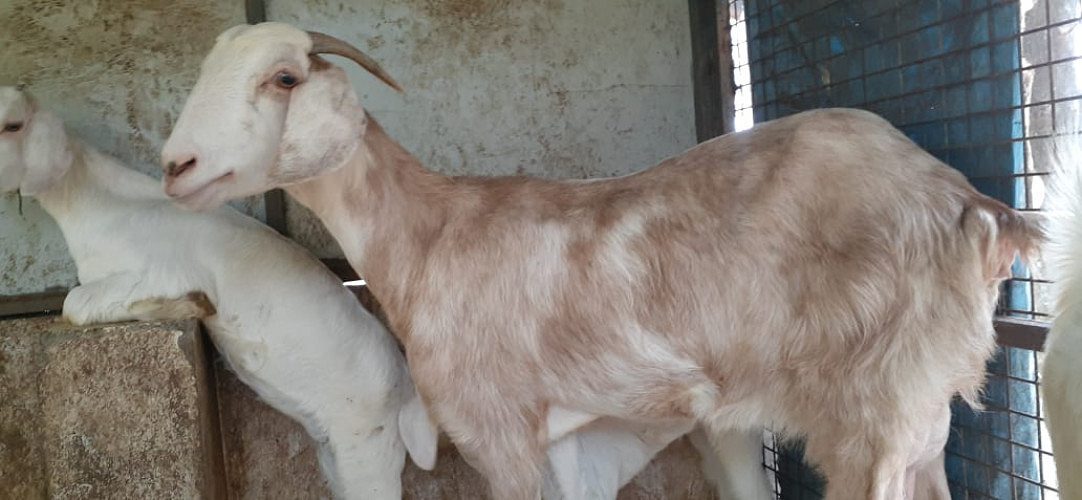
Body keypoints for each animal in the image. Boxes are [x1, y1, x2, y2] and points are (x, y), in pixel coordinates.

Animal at [0, 86, 437, 499]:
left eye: (12, 124)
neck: (99, 208)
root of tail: (406, 389)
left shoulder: (167, 269)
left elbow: (74, 302)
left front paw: (178, 306)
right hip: (335, 449)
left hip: (368, 444)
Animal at [161, 23, 1040, 499]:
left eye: (283, 77)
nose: (175, 166)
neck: (429, 233)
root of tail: (975, 208)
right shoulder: (559, 441)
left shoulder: (498, 430)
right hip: (921, 412)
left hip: (874, 411)